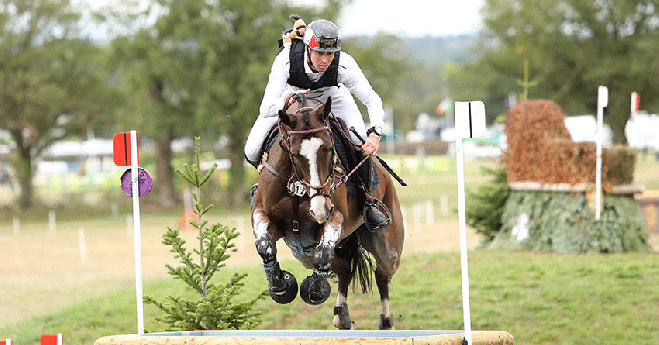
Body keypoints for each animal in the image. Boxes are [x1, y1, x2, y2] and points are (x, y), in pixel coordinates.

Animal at [250, 92, 404, 330]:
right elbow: (265, 245)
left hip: (388, 245)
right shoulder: (264, 214)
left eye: (331, 149)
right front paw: (280, 286)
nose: (321, 210)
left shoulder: (335, 218)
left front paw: (313, 291)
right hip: (303, 253)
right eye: (295, 154)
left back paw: (385, 323)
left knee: (382, 274)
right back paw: (342, 316)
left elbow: (323, 255)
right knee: (344, 268)